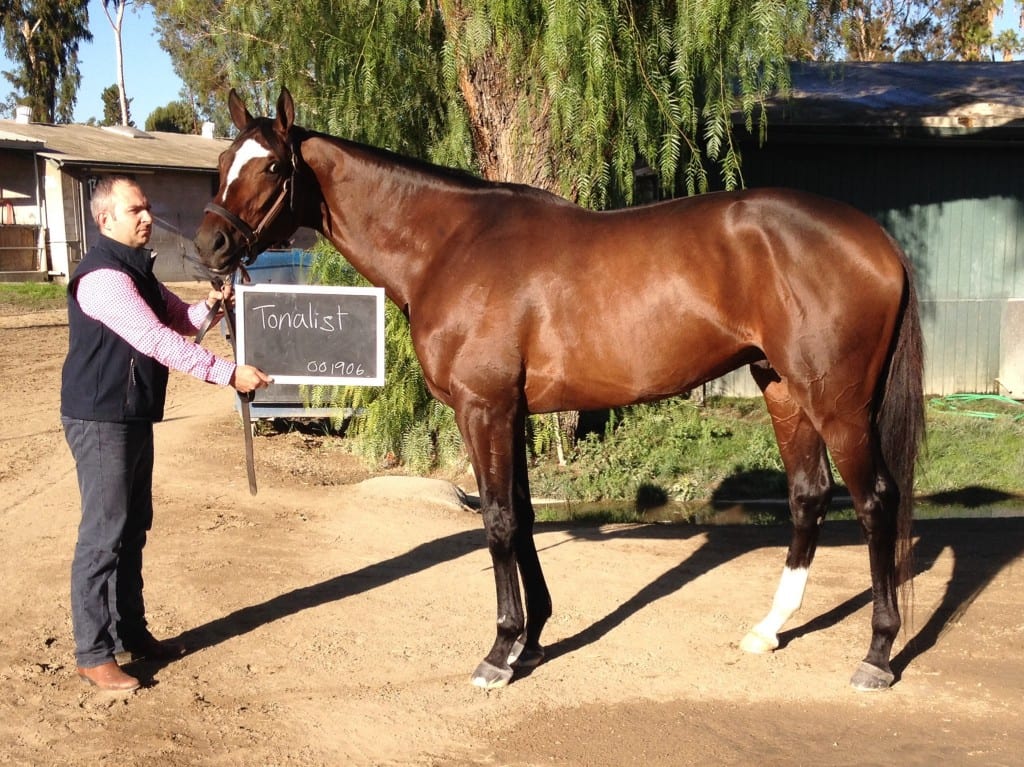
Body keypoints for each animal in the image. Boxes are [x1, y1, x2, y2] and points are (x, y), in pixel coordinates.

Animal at [195, 86, 925, 692]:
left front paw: (499, 652)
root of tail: (878, 240)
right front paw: (534, 640)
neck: (450, 245)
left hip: (838, 405)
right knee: (808, 494)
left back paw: (878, 654)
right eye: (225, 160)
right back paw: (769, 629)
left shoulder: (483, 408)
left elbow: (496, 521)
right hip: (782, 389)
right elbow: (520, 517)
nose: (210, 245)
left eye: (272, 168)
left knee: (875, 502)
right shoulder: (511, 412)